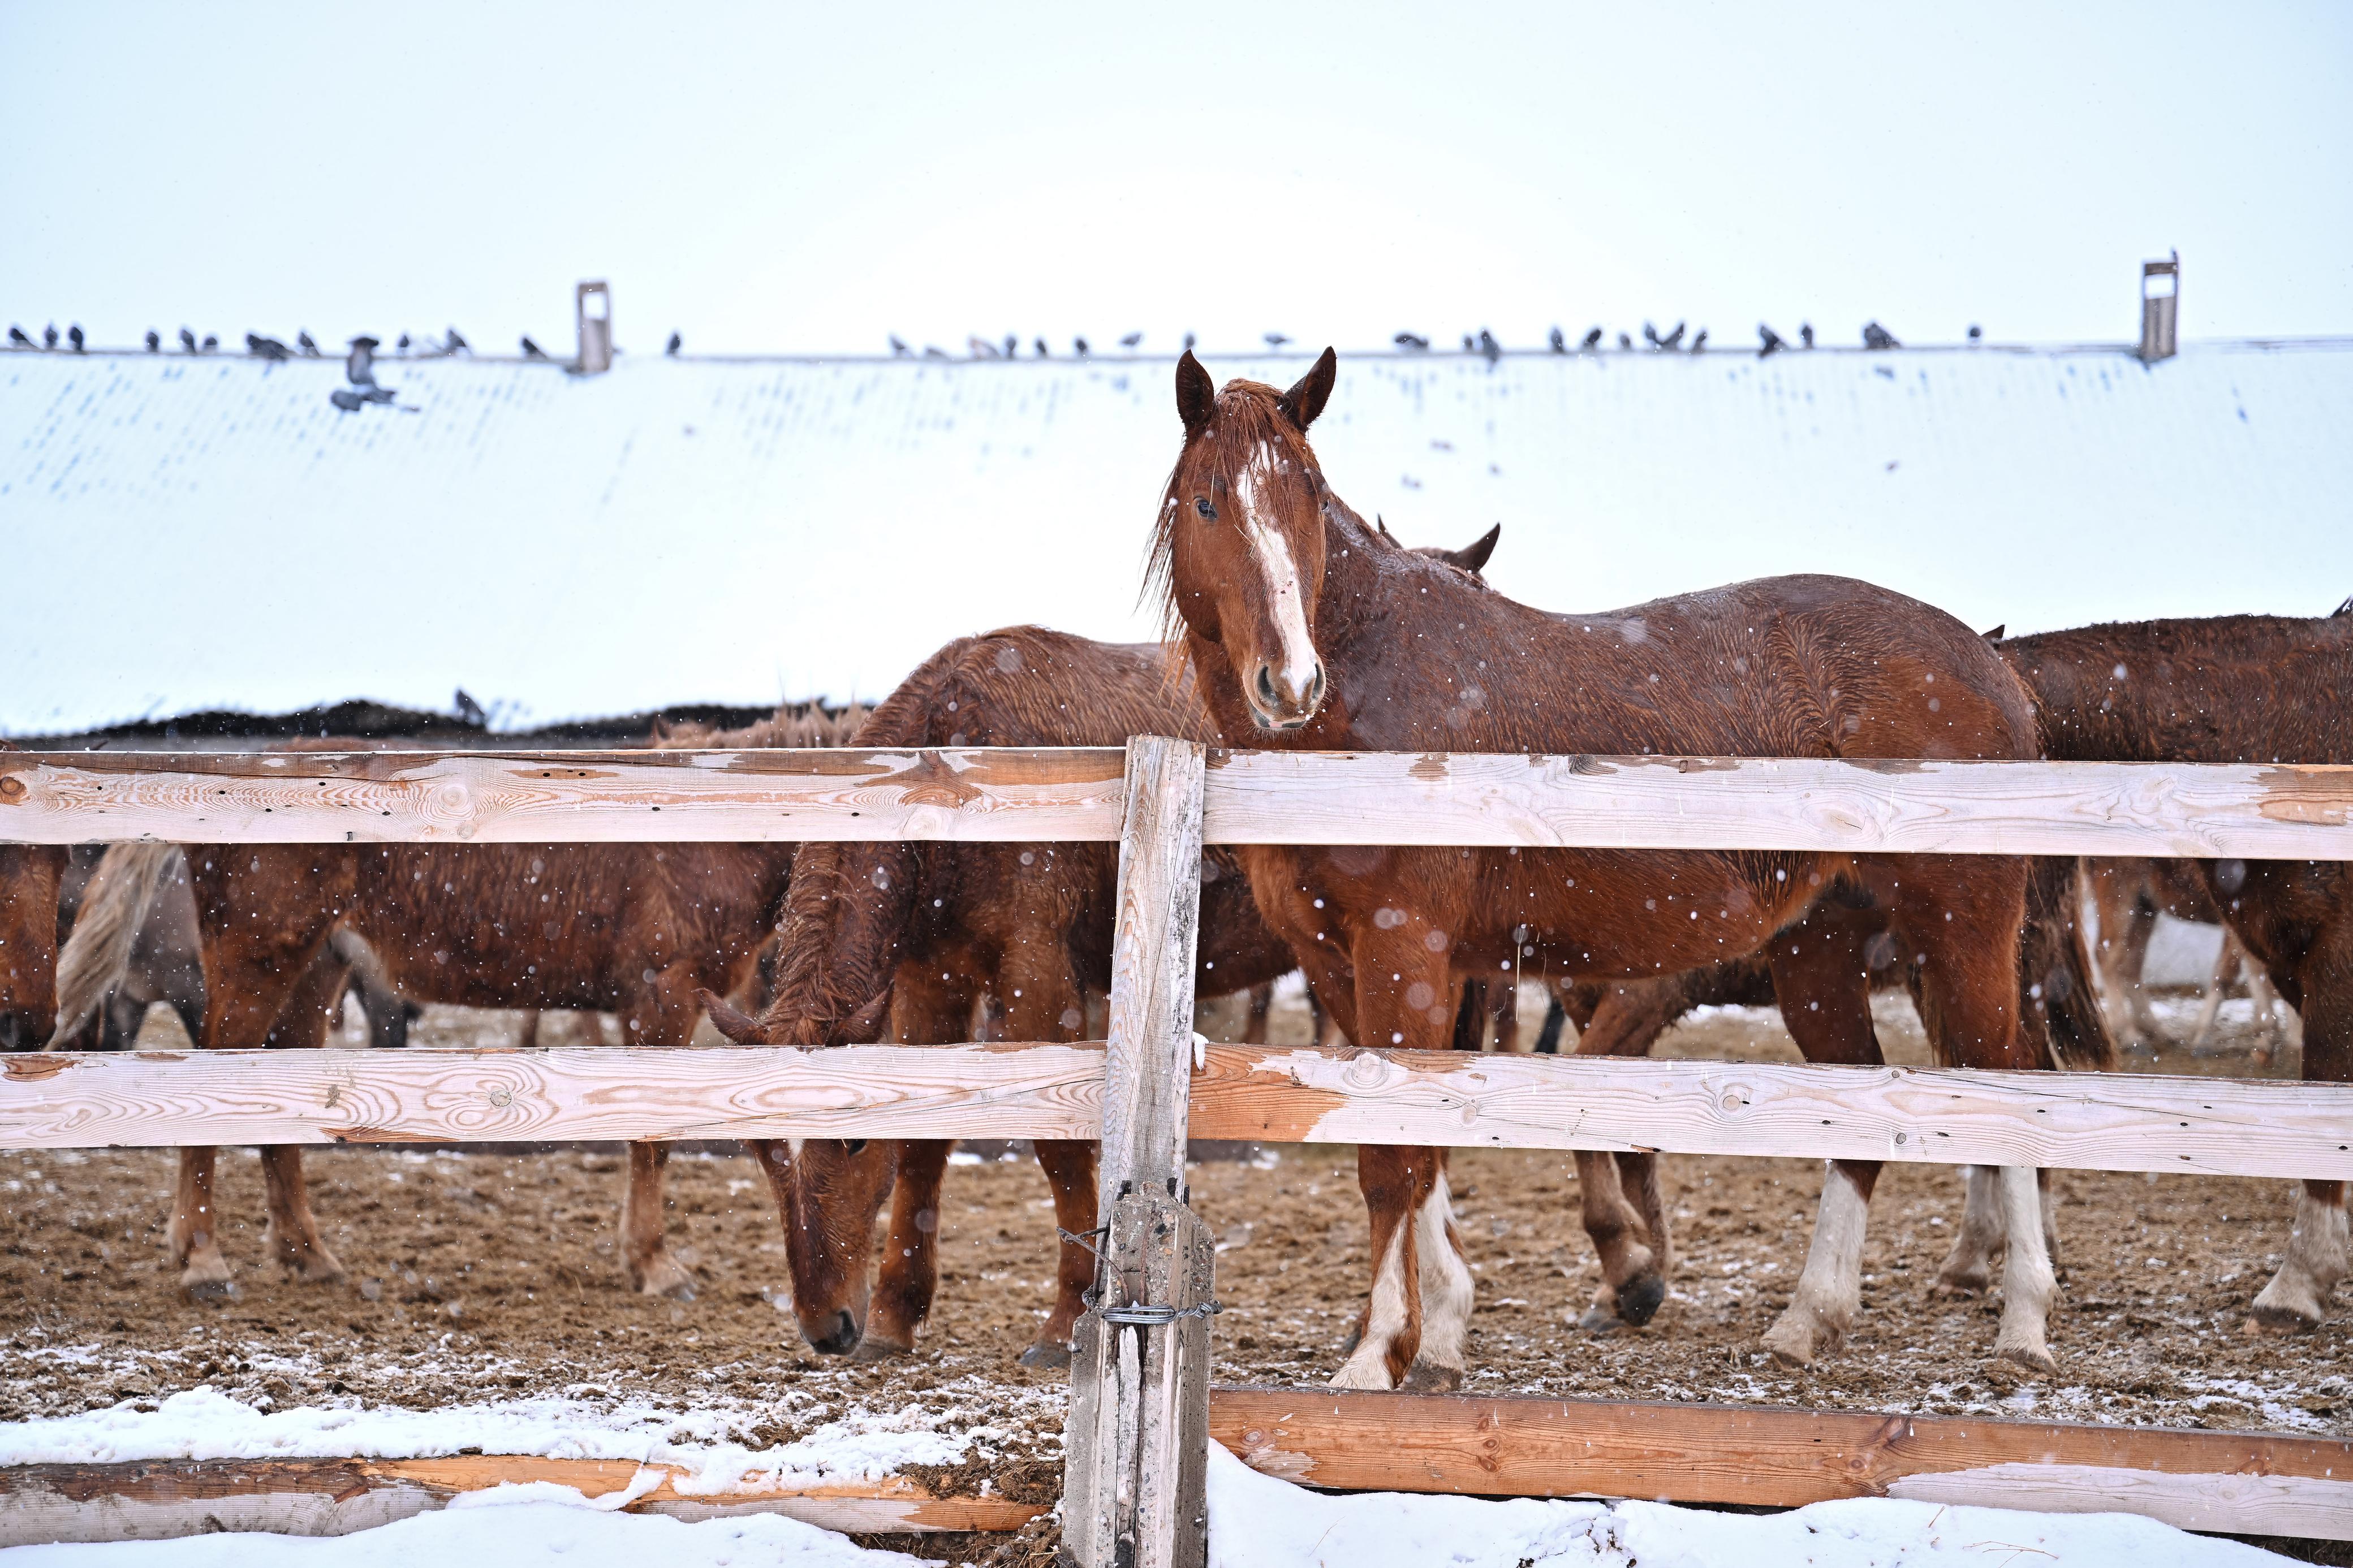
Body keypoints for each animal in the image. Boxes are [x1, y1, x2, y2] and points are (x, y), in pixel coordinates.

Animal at [1148, 352, 2070, 1382]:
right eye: (1208, 501)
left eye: (1306, 495)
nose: (1291, 682)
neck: (1369, 694)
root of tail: (1992, 665)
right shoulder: (1338, 961)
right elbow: (1421, 1145)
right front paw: (1442, 1331)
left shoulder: (1407, 952)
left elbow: (1396, 1155)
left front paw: (1379, 1353)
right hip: (1820, 945)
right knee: (1859, 1114)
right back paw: (1808, 1317)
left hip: (1964, 931)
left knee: (2010, 1089)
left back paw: (2024, 1320)